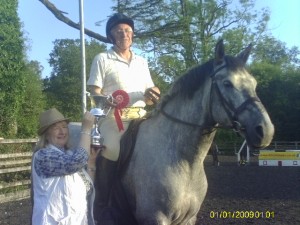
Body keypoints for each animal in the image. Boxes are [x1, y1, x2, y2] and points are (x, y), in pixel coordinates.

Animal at [68, 39, 274, 224]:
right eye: (227, 83)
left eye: (254, 83)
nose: (265, 131)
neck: (184, 161)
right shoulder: (156, 217)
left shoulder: (189, 218)